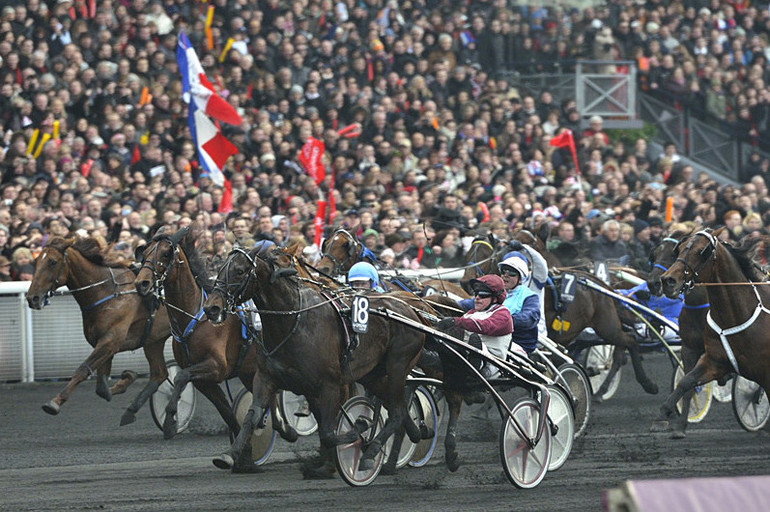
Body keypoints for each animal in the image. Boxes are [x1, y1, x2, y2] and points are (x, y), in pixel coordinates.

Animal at [26, 237, 170, 420]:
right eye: (36, 260)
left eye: (52, 262)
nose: (32, 298)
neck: (108, 293)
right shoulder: (103, 343)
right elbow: (101, 388)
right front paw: (126, 378)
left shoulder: (110, 341)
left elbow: (83, 370)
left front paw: (55, 402)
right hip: (154, 340)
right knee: (160, 374)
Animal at [134, 226, 296, 458]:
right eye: (145, 253)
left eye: (165, 253)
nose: (142, 283)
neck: (195, 318)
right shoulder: (204, 381)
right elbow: (226, 411)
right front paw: (243, 449)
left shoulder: (217, 367)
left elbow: (181, 377)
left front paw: (170, 422)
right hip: (250, 371)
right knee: (270, 399)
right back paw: (284, 428)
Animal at [201, 246, 424, 478]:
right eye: (220, 270)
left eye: (240, 271)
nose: (211, 308)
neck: (291, 321)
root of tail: (412, 310)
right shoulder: (266, 377)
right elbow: (252, 417)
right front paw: (229, 455)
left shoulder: (330, 384)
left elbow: (328, 431)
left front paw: (356, 433)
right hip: (373, 374)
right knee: (398, 408)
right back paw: (413, 434)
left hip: (398, 365)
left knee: (396, 411)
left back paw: (371, 453)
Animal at [652, 229, 768, 428]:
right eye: (679, 249)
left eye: (701, 251)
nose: (667, 280)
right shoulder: (712, 359)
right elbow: (686, 382)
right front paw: (666, 416)